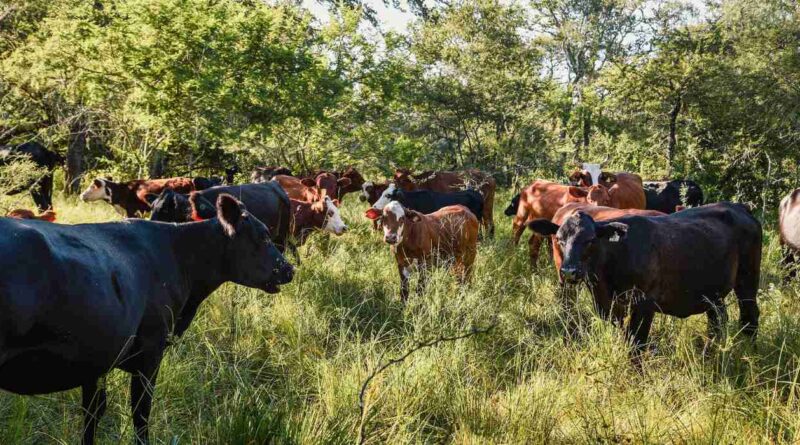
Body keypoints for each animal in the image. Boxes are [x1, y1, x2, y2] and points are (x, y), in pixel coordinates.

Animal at [0, 194, 294, 444]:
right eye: (263, 236)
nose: (289, 269)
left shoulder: (97, 356)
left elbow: (93, 413)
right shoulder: (151, 349)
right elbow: (141, 412)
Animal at [528, 201, 760, 350]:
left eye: (590, 240)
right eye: (559, 239)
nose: (569, 271)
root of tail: (739, 207)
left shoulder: (644, 304)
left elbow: (636, 343)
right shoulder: (611, 306)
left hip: (747, 280)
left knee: (749, 316)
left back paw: (748, 352)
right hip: (713, 294)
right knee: (717, 321)